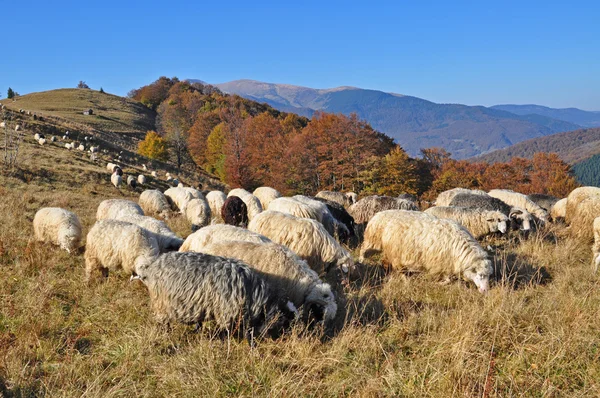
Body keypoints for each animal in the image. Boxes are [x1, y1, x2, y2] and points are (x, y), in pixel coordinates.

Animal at [133, 252, 298, 346]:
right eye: (285, 322)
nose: (287, 339)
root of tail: (151, 266)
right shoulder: (226, 312)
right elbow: (226, 331)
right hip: (161, 302)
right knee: (163, 322)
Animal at [360, 211, 492, 292]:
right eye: (481, 275)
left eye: (488, 275)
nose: (486, 291)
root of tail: (377, 214)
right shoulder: (438, 264)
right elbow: (447, 279)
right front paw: (437, 283)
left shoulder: (446, 264)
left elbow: (449, 279)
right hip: (375, 243)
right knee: (363, 250)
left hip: (391, 251)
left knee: (387, 263)